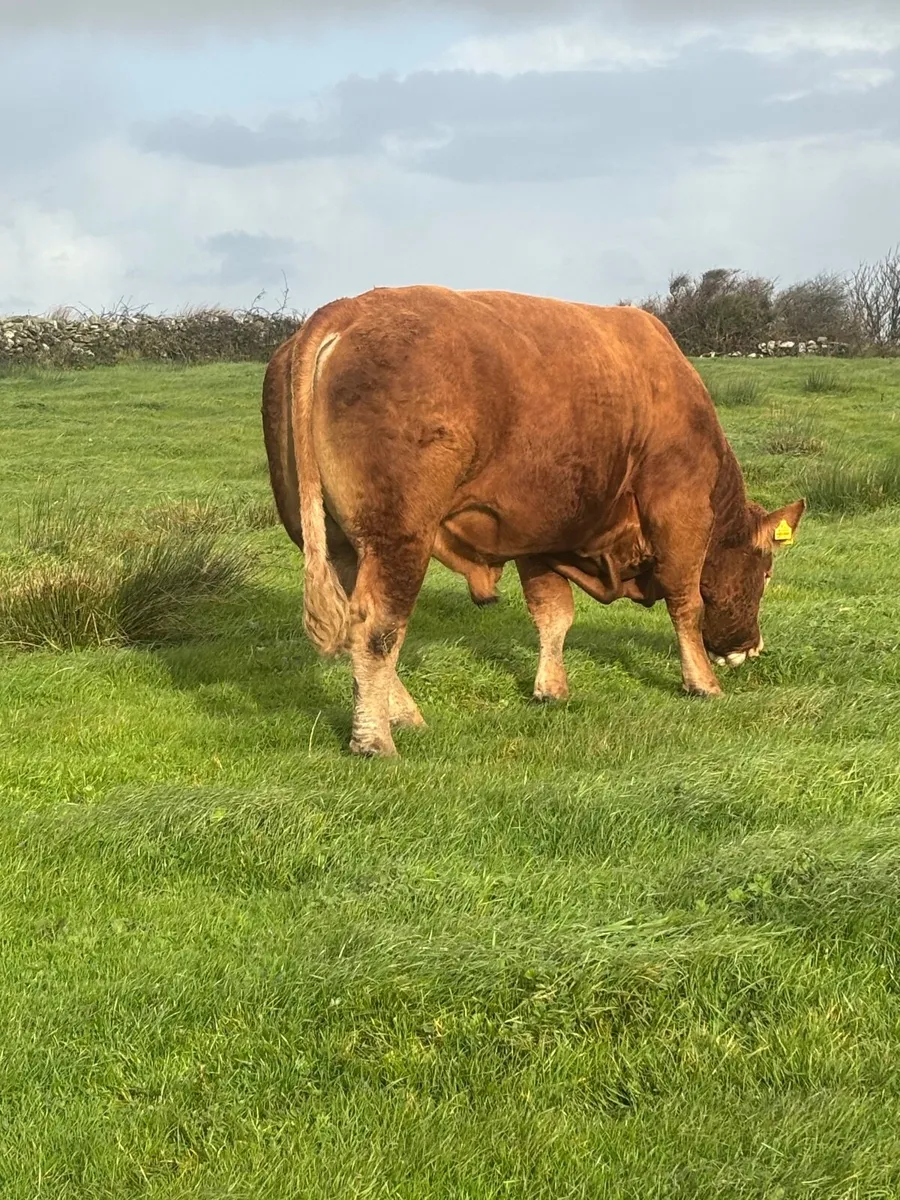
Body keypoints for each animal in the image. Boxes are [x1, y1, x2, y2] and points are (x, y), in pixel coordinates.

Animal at [262, 286, 804, 757]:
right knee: (377, 628)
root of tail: (348, 308)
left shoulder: (539, 535)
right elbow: (686, 602)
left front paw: (551, 689)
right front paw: (703, 684)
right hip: (398, 539)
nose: (752, 648)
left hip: (339, 541)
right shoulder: (680, 511)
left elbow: (553, 615)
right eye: (766, 572)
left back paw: (406, 717)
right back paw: (375, 741)